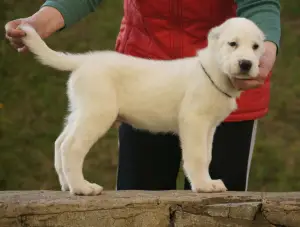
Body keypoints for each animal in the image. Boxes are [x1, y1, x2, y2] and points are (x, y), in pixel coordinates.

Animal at [18, 17, 264, 195]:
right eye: (232, 44)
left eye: (256, 47)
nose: (246, 63)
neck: (213, 70)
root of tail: (84, 60)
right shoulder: (194, 121)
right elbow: (198, 156)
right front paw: (204, 186)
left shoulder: (209, 127)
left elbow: (208, 155)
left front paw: (208, 182)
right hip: (97, 113)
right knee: (72, 147)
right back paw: (82, 188)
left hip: (81, 112)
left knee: (60, 142)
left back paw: (68, 185)